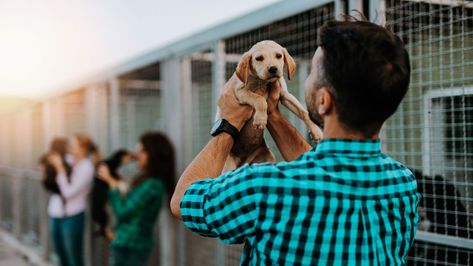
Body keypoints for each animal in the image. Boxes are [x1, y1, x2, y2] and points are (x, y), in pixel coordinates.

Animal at [218, 40, 322, 172]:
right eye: (259, 58)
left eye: (279, 56)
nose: (273, 69)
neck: (264, 82)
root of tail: (243, 162)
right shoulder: (241, 91)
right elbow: (260, 100)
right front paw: (260, 119)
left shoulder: (285, 95)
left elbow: (304, 112)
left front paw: (316, 130)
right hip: (228, 165)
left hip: (266, 157)